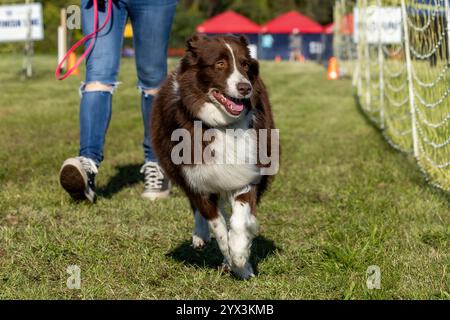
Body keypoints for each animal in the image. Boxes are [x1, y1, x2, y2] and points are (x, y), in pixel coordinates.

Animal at [152, 35, 278, 278]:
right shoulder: (195, 176)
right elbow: (218, 227)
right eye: (219, 64)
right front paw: (234, 261)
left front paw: (240, 258)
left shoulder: (247, 170)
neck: (222, 126)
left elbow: (239, 220)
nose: (245, 88)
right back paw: (200, 236)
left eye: (245, 64)